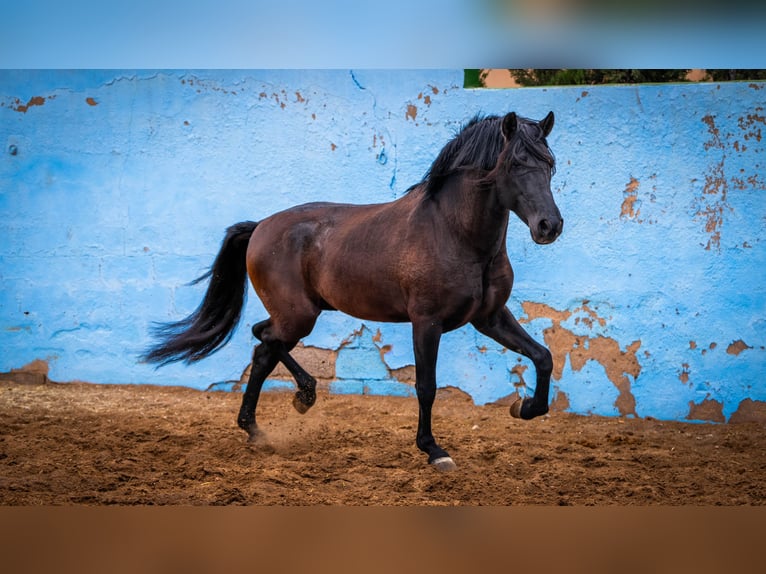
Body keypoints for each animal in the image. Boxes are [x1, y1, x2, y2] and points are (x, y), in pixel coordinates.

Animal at [144, 111, 564, 472]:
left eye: (550, 164)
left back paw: (264, 424)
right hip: (298, 317)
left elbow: (543, 357)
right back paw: (294, 402)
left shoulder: (489, 318)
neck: (454, 234)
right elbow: (426, 386)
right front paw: (434, 450)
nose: (550, 226)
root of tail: (261, 225)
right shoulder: (426, 322)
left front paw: (525, 408)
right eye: (515, 165)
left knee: (262, 346)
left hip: (297, 314)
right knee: (264, 342)